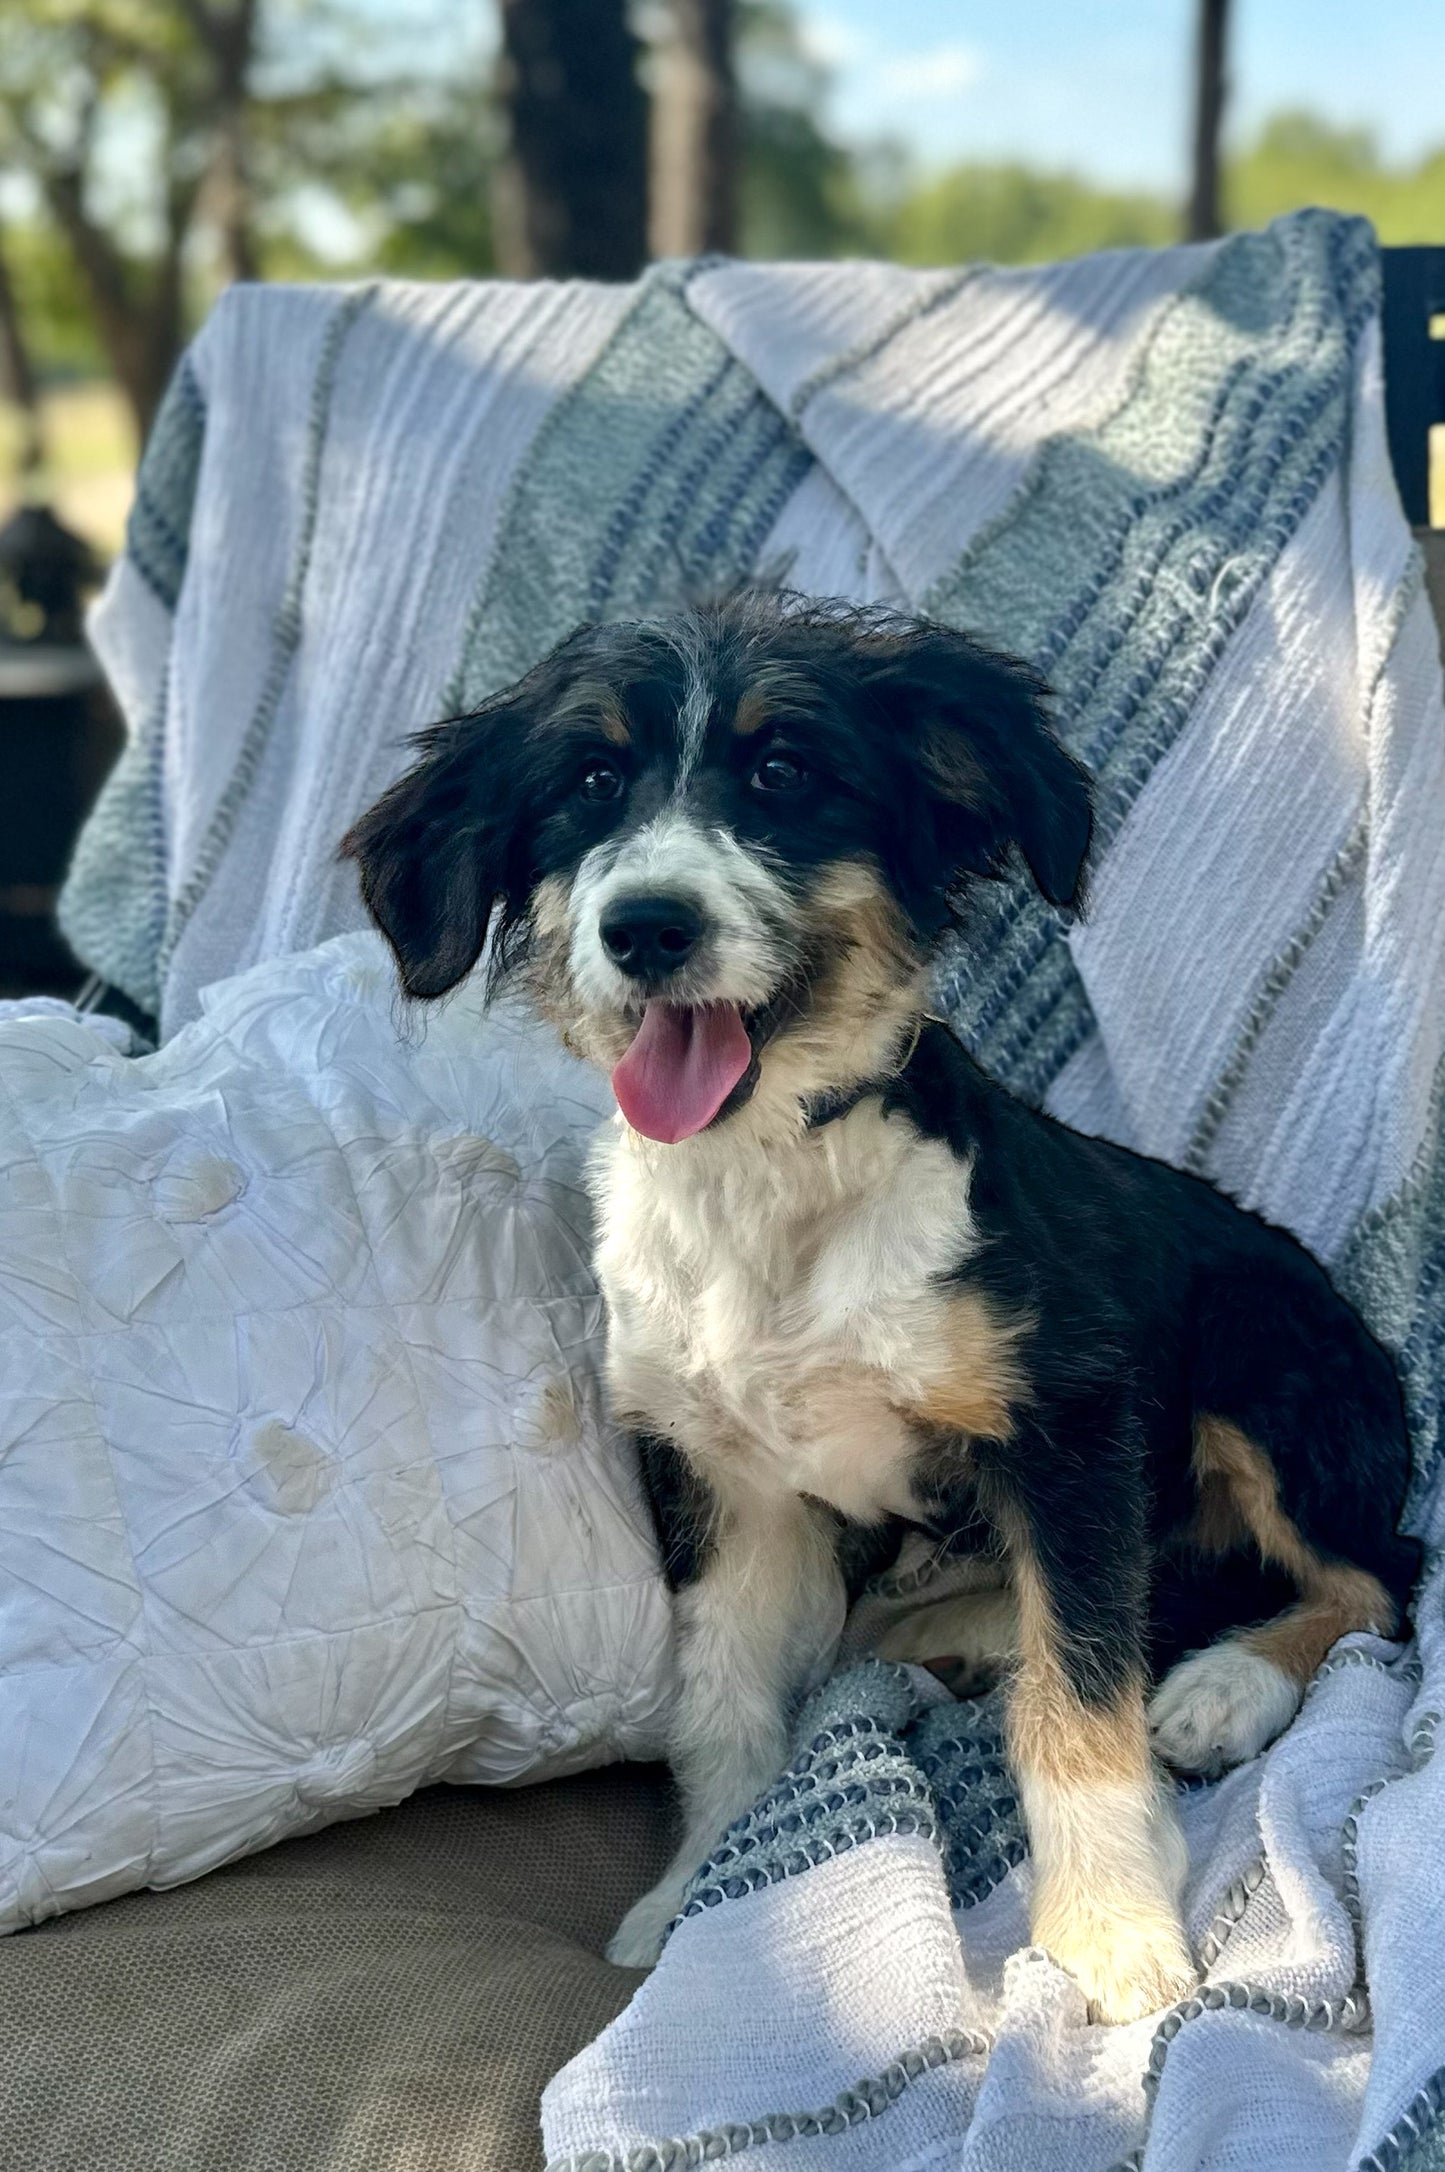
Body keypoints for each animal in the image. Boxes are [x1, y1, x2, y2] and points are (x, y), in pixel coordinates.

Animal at [343, 590, 1416, 2015]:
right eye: (587, 785)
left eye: (784, 773)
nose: (647, 927)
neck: (769, 1183)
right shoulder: (722, 1482)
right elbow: (723, 1708)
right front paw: (699, 1897)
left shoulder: (1069, 1433)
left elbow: (1079, 1707)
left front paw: (1110, 1940)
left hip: (1260, 1358)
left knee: (1377, 1581)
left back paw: (1219, 1686)